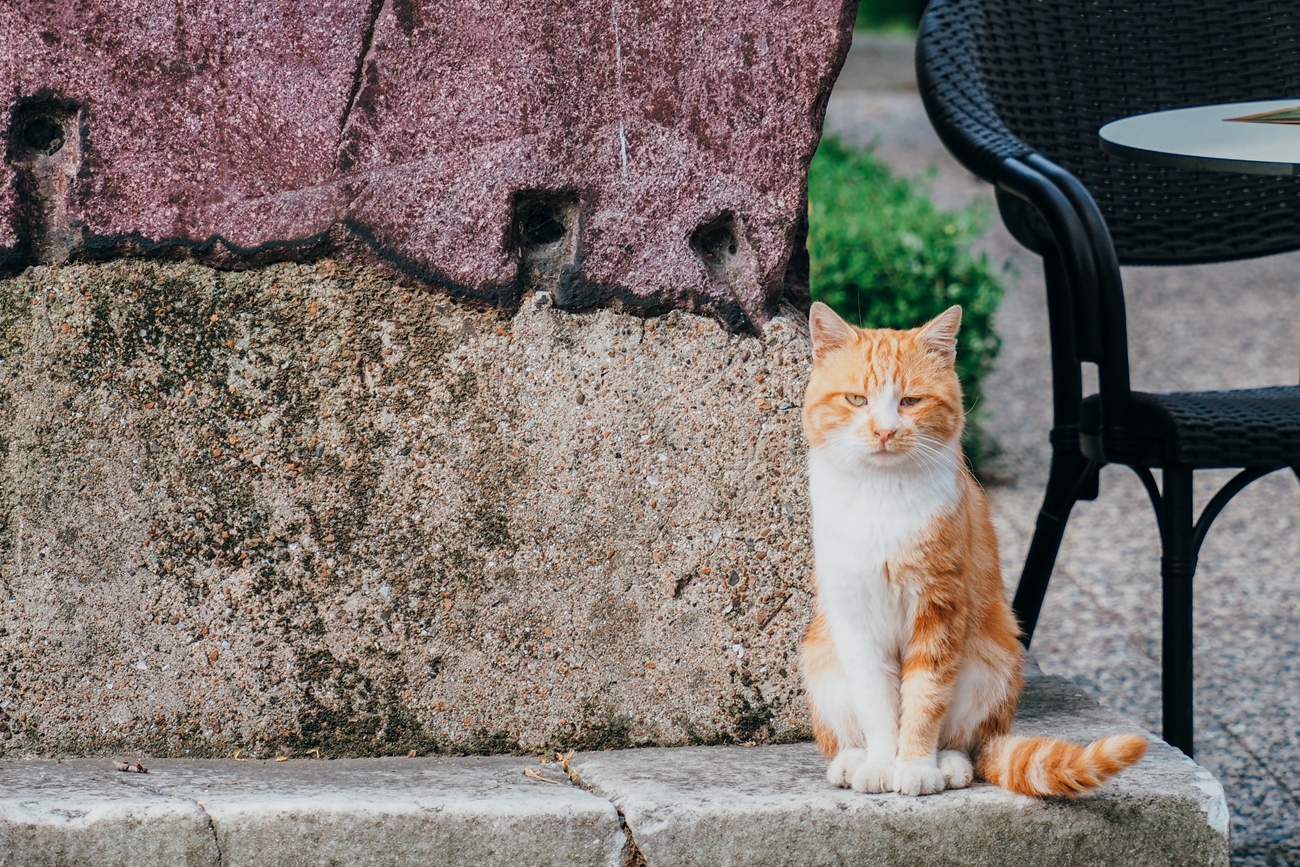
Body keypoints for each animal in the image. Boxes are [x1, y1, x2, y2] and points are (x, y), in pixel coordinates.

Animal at [790, 301, 1149, 795]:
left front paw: (915, 767)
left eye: (910, 401)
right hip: (822, 660)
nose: (884, 432)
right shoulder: (856, 618)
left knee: (967, 741)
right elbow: (878, 703)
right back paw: (852, 760)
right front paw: (882, 764)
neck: (881, 497)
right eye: (857, 400)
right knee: (843, 733)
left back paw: (949, 764)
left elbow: (925, 699)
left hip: (993, 659)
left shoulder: (940, 607)